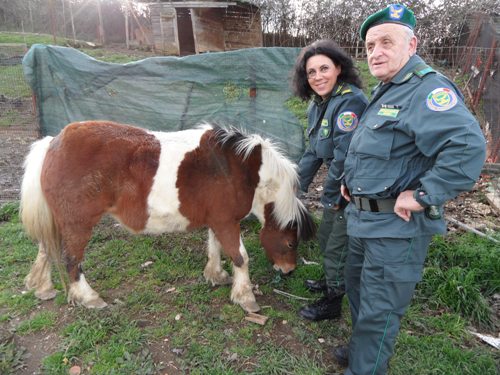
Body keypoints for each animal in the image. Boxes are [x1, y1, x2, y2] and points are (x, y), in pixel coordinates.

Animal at [21, 121, 316, 314]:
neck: (240, 169)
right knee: (71, 260)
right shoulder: (226, 222)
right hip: (78, 224)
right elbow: (240, 256)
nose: (288, 270)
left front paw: (216, 275)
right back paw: (88, 297)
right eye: (291, 243)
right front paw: (245, 297)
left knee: (46, 249)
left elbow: (215, 247)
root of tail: (53, 143)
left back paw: (42, 287)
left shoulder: (218, 220)